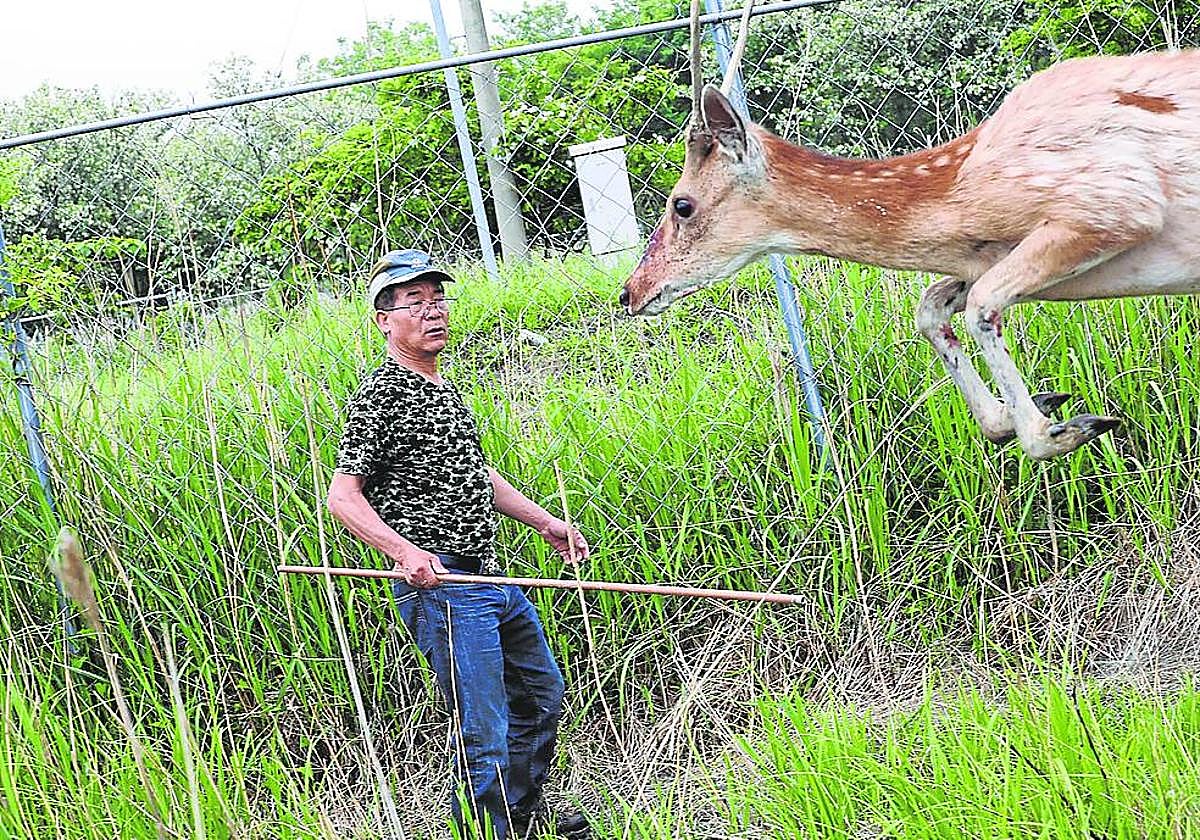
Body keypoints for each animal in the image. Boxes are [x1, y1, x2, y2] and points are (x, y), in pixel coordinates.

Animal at [619, 0, 1200, 460]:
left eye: (681, 204)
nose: (630, 292)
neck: (963, 189)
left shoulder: (1115, 204)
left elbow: (981, 305)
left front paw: (1064, 428)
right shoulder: (984, 257)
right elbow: (930, 307)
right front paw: (1021, 413)